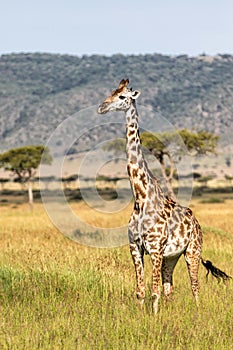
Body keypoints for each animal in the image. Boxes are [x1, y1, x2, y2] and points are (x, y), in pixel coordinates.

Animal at [97, 80, 230, 314]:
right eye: (111, 92)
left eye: (122, 96)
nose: (102, 107)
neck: (141, 198)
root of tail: (196, 222)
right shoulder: (136, 248)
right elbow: (141, 291)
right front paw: (143, 315)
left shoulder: (155, 249)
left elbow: (154, 291)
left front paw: (155, 317)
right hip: (173, 256)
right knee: (170, 287)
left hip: (192, 251)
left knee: (194, 285)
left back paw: (197, 312)